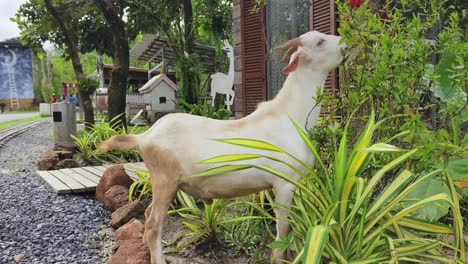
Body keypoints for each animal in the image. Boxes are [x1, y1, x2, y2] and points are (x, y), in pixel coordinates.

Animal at [100, 31, 352, 264]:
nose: (347, 44)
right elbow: (282, 229)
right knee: (154, 223)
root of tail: (144, 136)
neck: (290, 116)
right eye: (320, 41)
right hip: (165, 180)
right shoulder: (283, 183)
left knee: (147, 214)